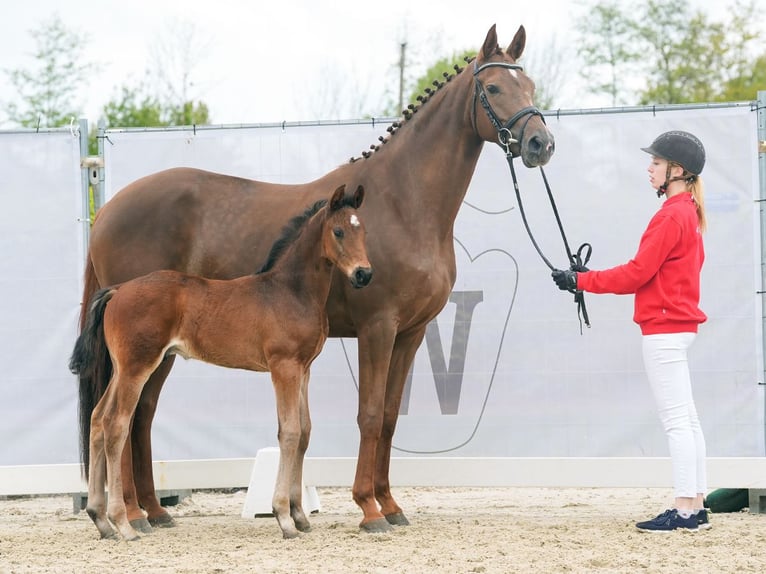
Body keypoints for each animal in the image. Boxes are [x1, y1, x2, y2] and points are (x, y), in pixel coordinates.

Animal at [72, 187, 372, 544]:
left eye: (363, 231)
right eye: (338, 231)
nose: (364, 274)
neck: (290, 291)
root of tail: (118, 291)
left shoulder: (304, 369)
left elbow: (305, 432)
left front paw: (300, 515)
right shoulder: (283, 367)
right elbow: (289, 432)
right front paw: (283, 517)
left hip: (121, 370)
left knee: (97, 419)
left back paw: (100, 520)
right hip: (137, 367)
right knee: (117, 424)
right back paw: (124, 524)